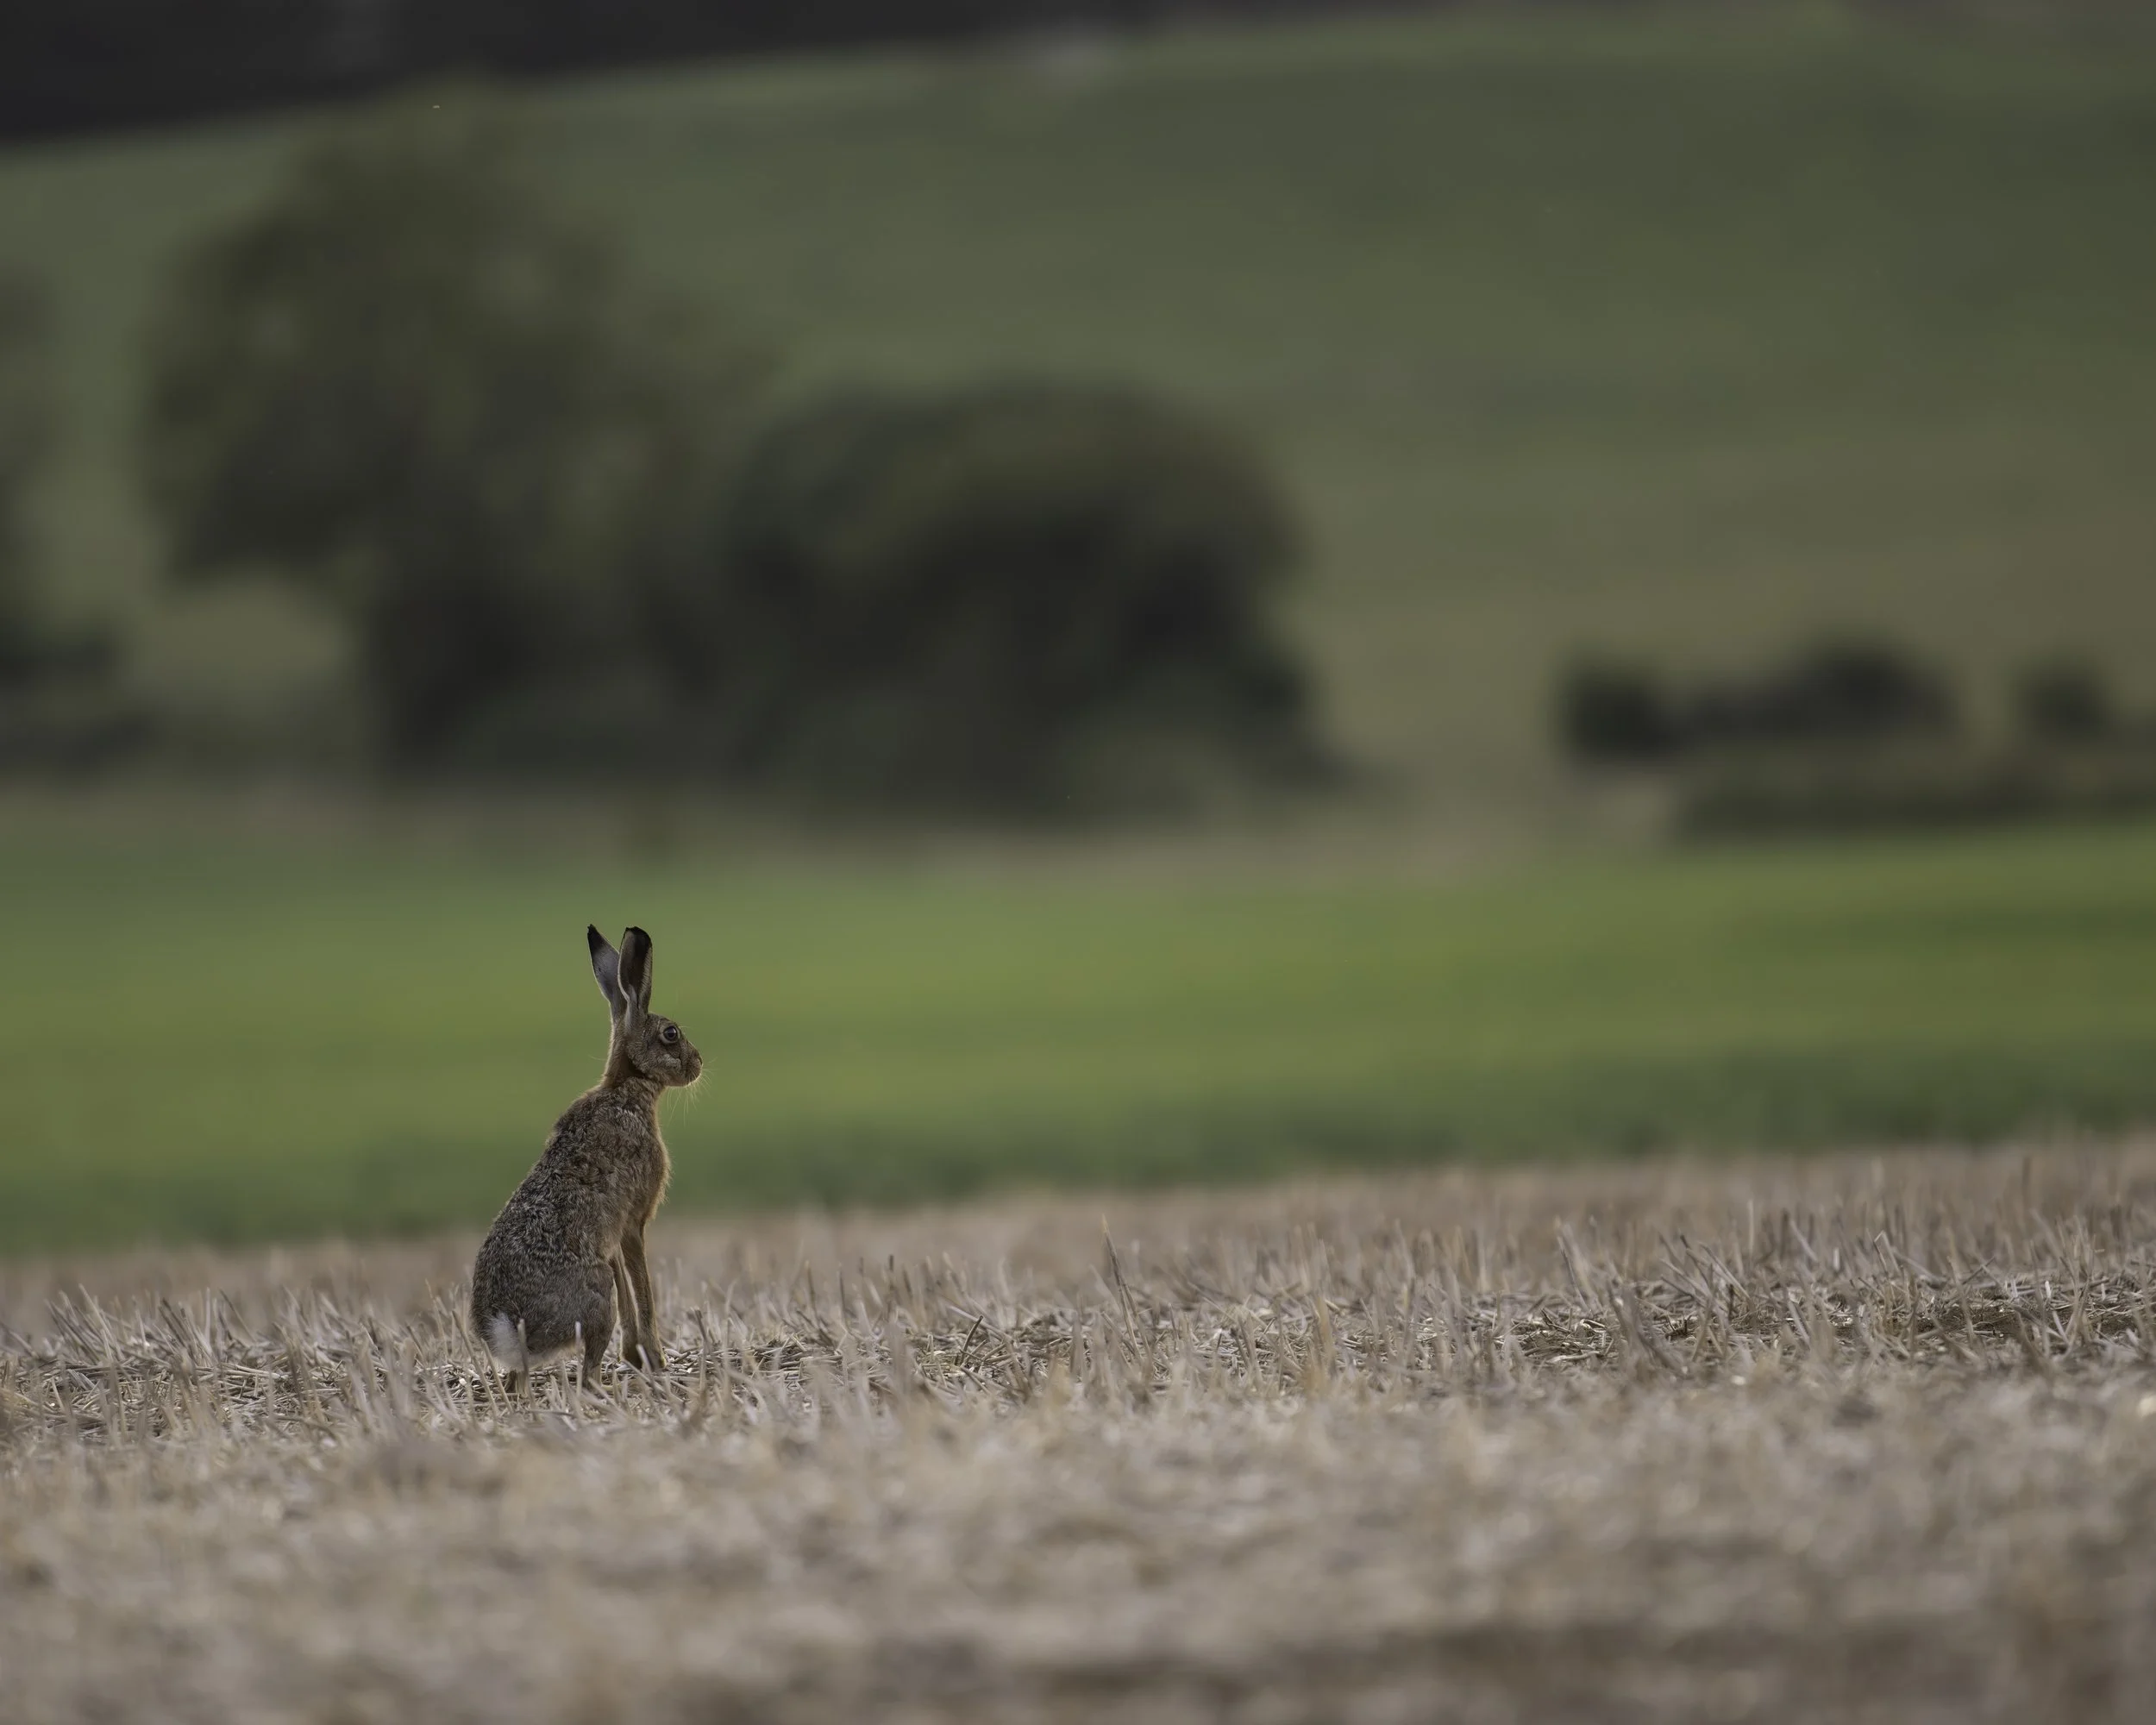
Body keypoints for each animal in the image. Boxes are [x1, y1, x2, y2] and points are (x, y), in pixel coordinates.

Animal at [470, 925, 701, 1390]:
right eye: (671, 1033)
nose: (699, 1064)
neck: (627, 1088)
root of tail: (505, 1327)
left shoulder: (614, 1239)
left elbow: (630, 1290)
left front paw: (636, 1356)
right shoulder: (633, 1222)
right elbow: (642, 1288)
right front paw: (655, 1360)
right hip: (596, 1301)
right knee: (588, 1375)